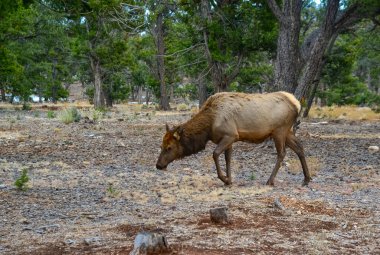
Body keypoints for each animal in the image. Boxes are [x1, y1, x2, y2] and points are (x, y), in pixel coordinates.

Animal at [156, 91, 310, 185]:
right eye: (161, 145)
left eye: (169, 147)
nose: (158, 165)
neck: (209, 125)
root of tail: (297, 104)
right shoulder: (229, 139)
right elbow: (228, 159)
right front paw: (229, 180)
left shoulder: (230, 135)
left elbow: (215, 154)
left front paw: (224, 179)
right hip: (287, 131)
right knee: (300, 148)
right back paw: (307, 179)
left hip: (279, 130)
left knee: (282, 153)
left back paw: (270, 180)